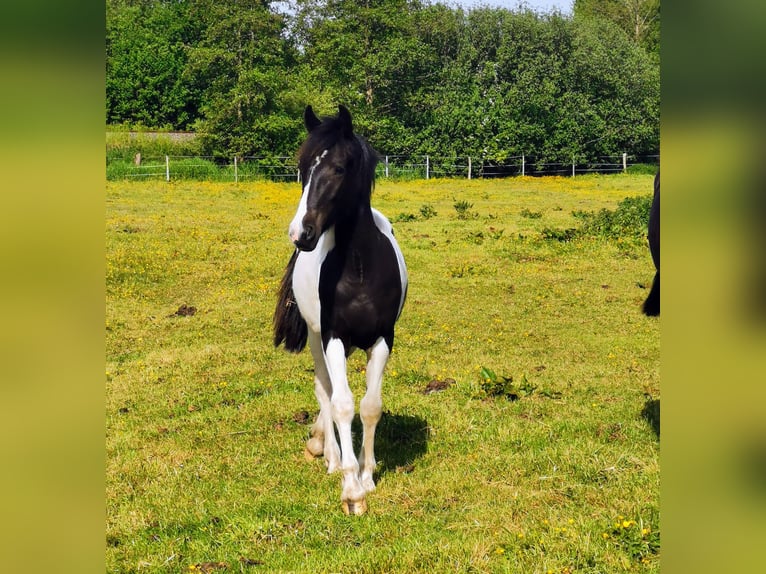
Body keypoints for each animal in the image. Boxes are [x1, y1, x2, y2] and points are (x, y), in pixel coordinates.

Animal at [273, 105, 408, 515]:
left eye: (339, 168)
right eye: (302, 167)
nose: (300, 234)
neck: (360, 267)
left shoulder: (382, 339)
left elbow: (370, 406)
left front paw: (368, 474)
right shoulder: (332, 336)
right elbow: (343, 404)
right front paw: (351, 489)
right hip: (318, 337)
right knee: (325, 390)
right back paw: (329, 454)